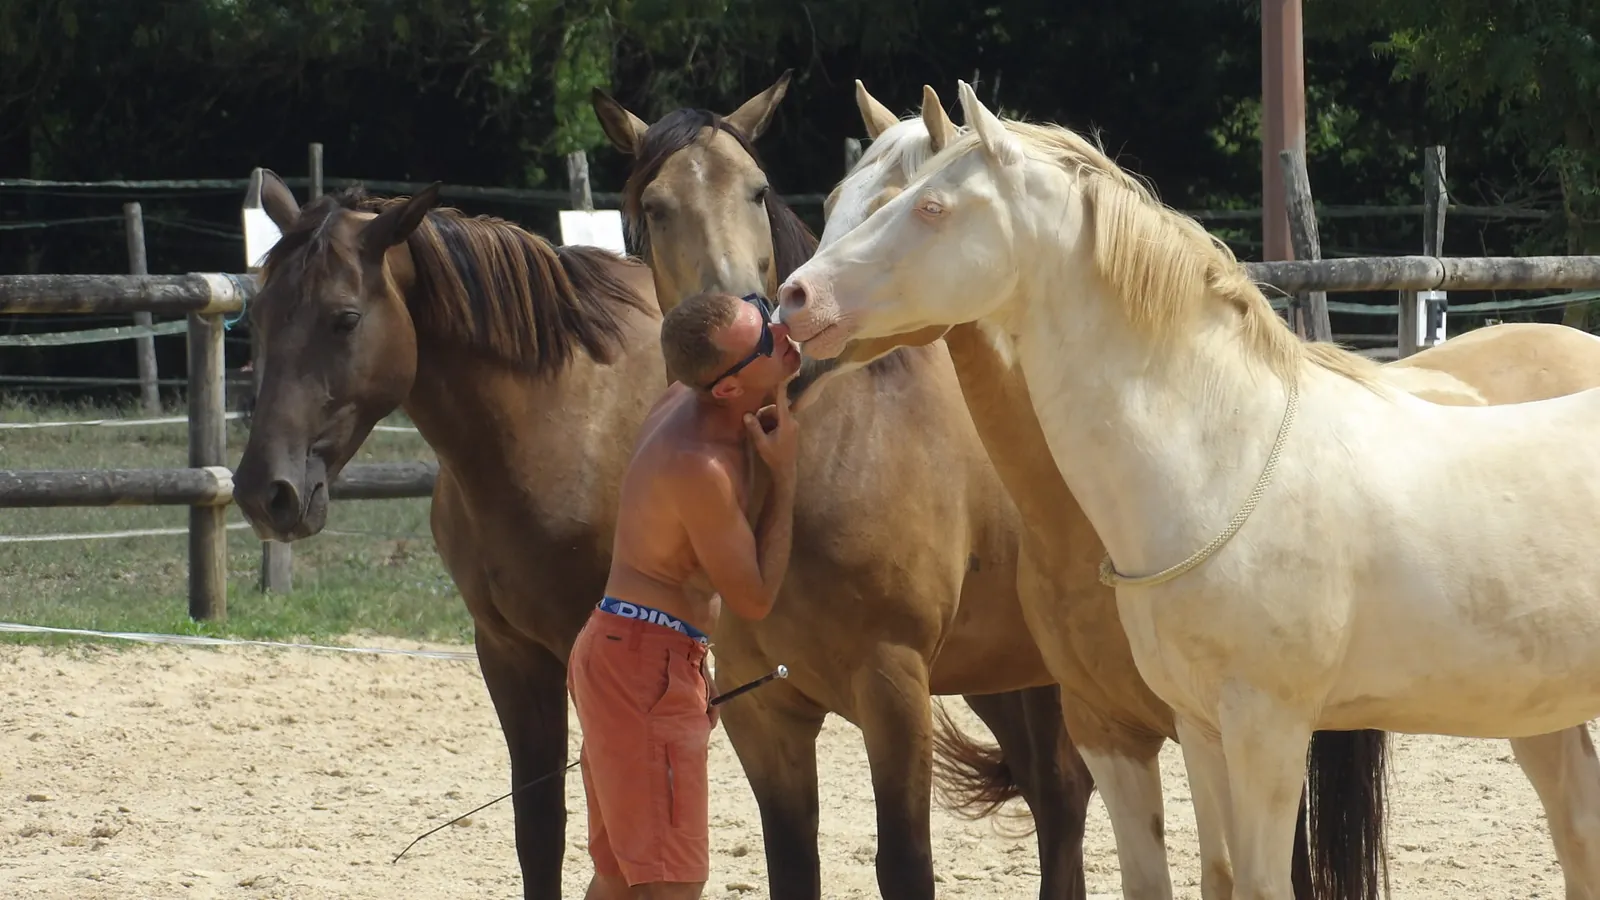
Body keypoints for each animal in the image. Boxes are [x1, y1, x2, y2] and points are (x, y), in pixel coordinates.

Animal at [230, 174, 668, 899]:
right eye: (259, 316)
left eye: (345, 319)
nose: (266, 493)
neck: (567, 420)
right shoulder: (511, 655)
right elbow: (539, 831)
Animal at [588, 74, 1094, 900]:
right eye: (653, 206)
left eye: (758, 190)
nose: (744, 314)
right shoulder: (763, 708)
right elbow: (793, 863)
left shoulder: (893, 688)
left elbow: (905, 864)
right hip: (1005, 672)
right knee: (1057, 796)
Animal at [777, 80, 1600, 900]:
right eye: (838, 198)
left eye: (927, 206)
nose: (795, 298)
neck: (1223, 462)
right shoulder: (1195, 728)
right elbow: (1212, 873)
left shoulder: (1268, 731)